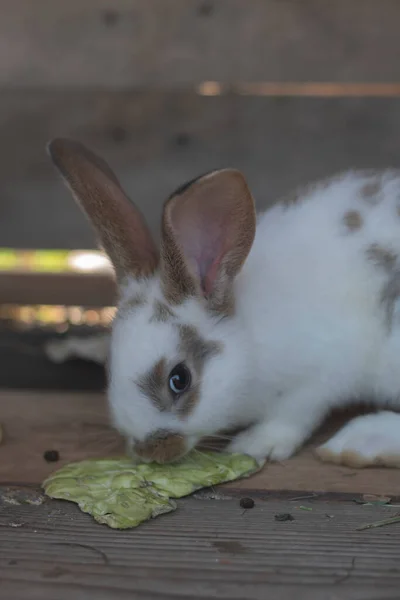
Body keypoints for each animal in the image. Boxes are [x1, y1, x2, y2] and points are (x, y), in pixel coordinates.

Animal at [47, 138, 400, 466]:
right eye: (110, 366)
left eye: (179, 379)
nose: (150, 452)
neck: (248, 338)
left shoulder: (319, 377)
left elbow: (292, 415)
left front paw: (257, 444)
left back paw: (360, 442)